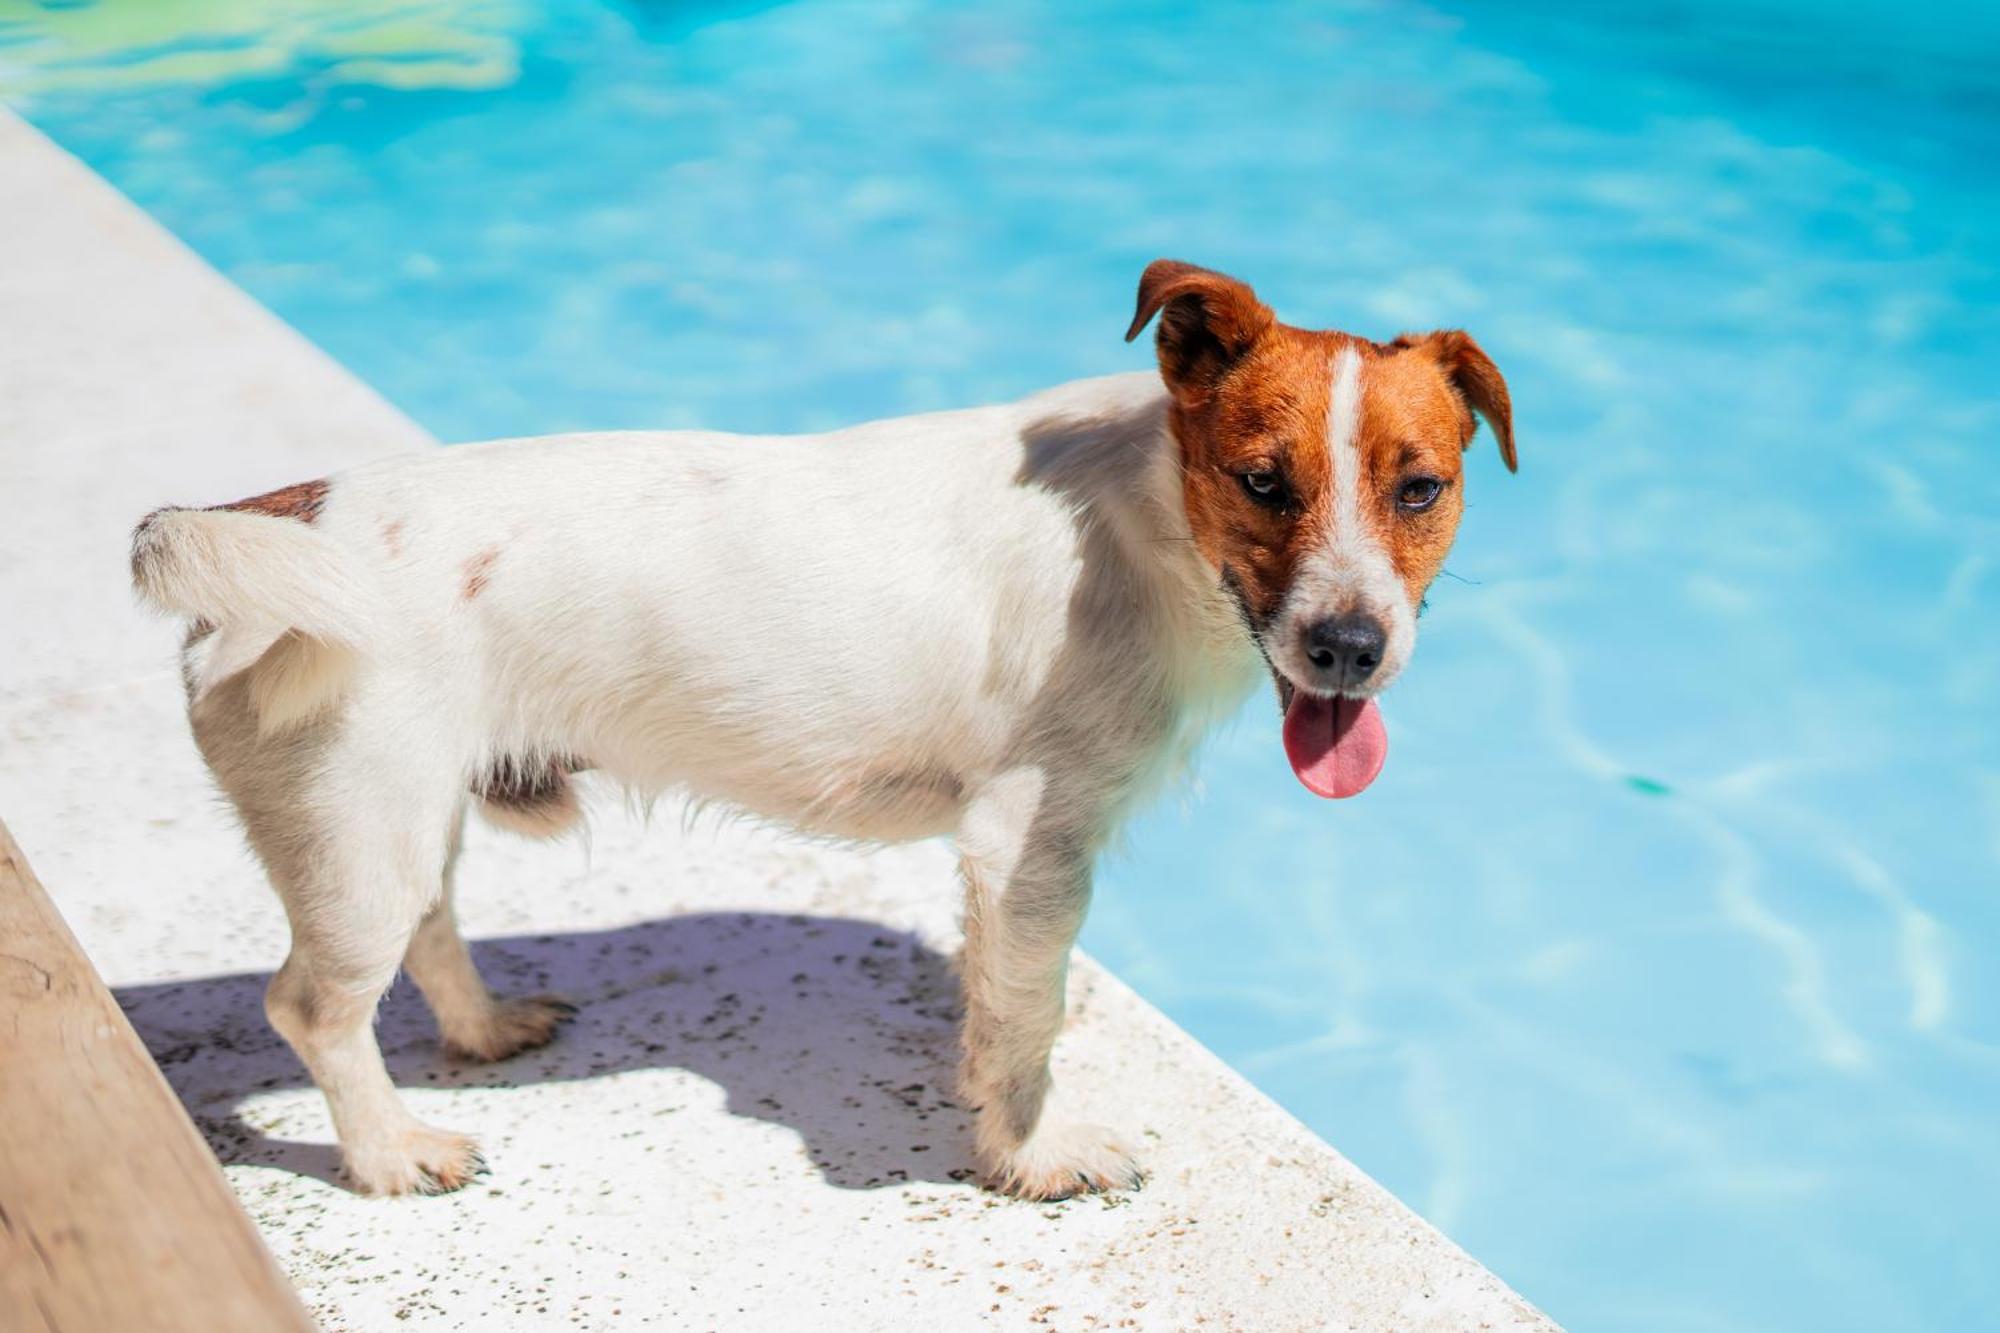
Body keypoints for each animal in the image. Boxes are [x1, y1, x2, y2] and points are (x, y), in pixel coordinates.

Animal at [133, 256, 1504, 1192]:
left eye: (1420, 490)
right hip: (359, 836)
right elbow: (1025, 1020)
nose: (1350, 647)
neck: (1147, 526)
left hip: (398, 820)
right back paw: (384, 1154)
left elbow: (999, 998)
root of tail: (281, 512)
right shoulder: (1029, 842)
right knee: (315, 1010)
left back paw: (478, 1031)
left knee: (429, 928)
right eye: (1262, 483)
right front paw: (1029, 1149)